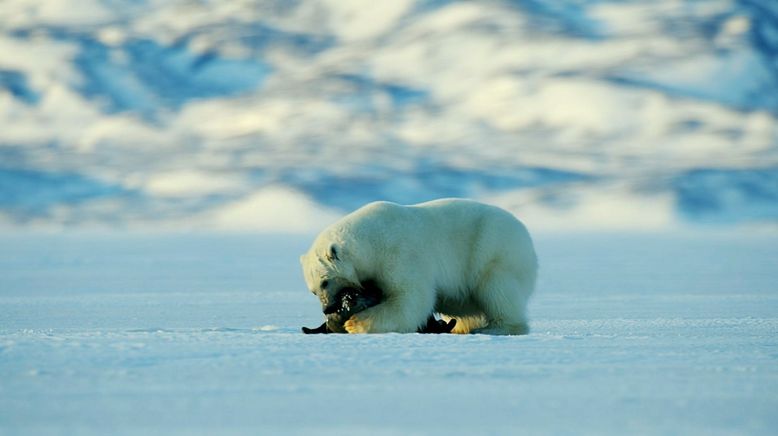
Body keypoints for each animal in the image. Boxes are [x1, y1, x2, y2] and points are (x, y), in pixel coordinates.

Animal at [300, 199, 536, 336]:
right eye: (313, 290)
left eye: (325, 281)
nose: (327, 309)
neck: (370, 240)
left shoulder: (398, 253)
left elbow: (410, 298)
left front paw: (355, 323)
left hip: (493, 251)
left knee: (497, 290)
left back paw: (494, 328)